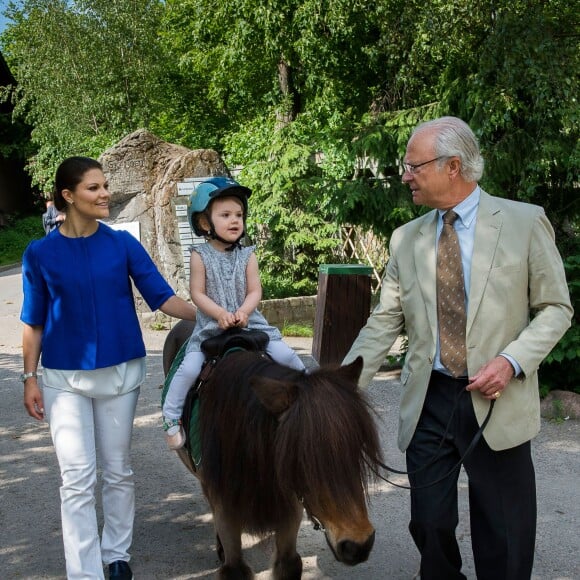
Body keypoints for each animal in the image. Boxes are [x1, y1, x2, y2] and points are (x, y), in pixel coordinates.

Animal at [162, 322, 386, 580]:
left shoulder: (290, 510)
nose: (358, 545)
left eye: (357, 447)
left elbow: (287, 564)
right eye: (302, 457)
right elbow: (233, 565)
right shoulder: (226, 511)